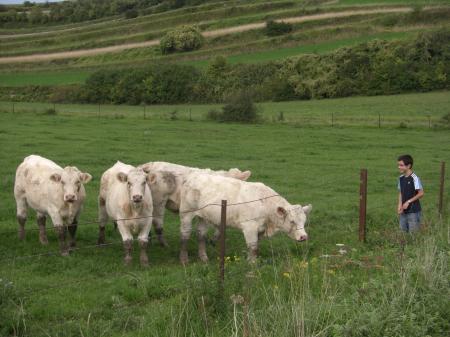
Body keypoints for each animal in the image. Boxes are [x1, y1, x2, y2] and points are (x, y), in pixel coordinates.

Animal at [178, 172, 312, 264]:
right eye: (292, 221)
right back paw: (184, 260)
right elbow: (253, 247)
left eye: (304, 222)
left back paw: (204, 258)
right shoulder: (249, 227)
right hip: (186, 214)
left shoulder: (260, 229)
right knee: (185, 235)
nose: (303, 237)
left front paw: (251, 261)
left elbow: (255, 247)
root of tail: (194, 176)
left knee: (201, 234)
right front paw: (252, 265)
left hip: (204, 217)